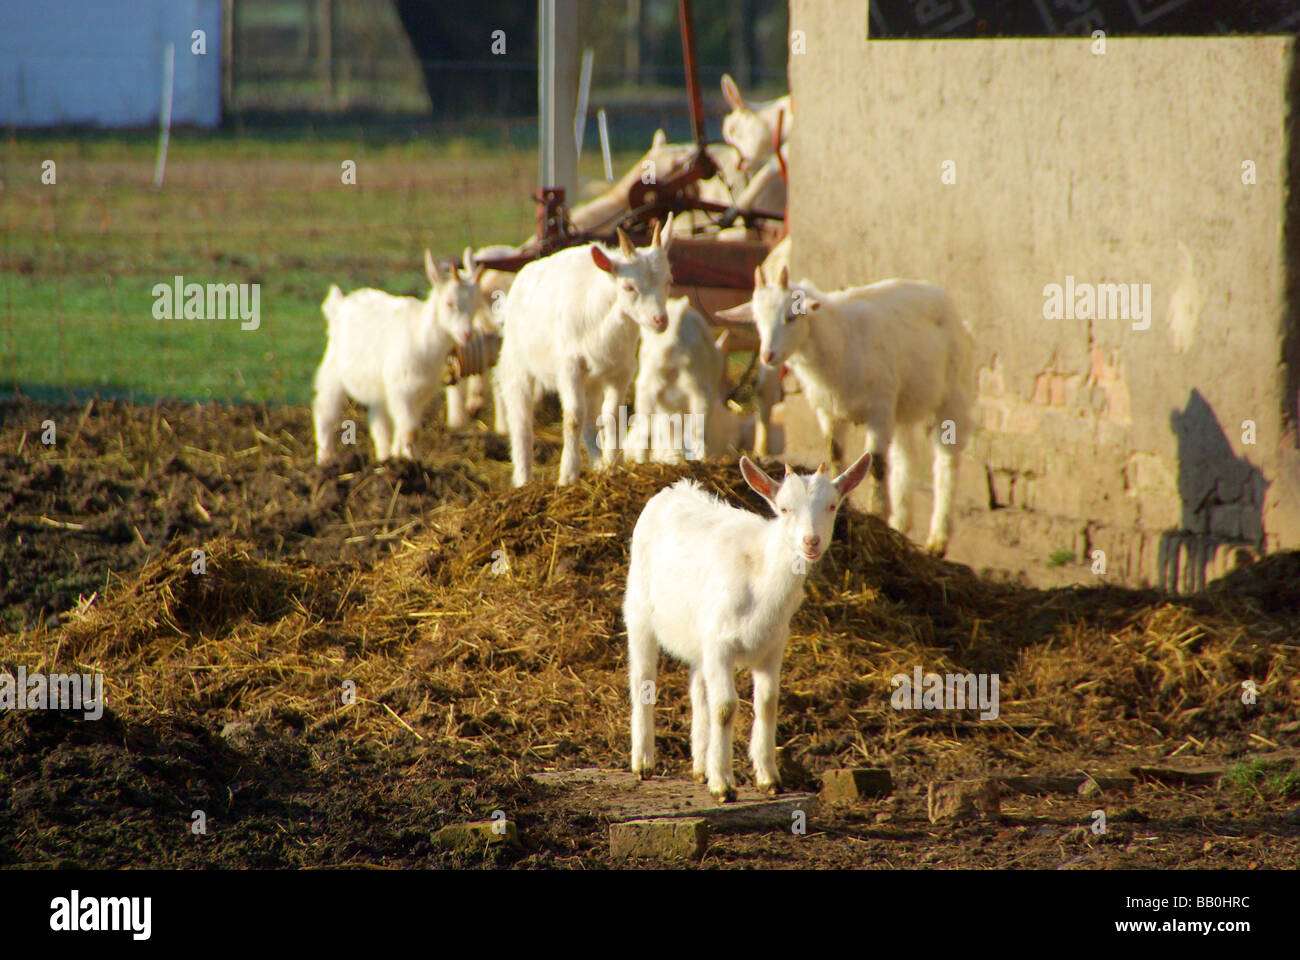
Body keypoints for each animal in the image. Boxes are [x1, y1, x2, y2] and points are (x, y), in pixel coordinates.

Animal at [313, 248, 483, 463]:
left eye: (476, 304)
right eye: (449, 303)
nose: (467, 334)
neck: (421, 338)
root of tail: (339, 304)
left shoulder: (421, 392)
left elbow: (408, 430)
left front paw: (405, 457)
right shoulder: (401, 391)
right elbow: (410, 430)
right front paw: (409, 464)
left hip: (379, 387)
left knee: (379, 423)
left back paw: (384, 456)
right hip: (333, 368)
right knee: (325, 410)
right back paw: (325, 459)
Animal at [496, 217, 676, 486]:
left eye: (668, 281)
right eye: (629, 287)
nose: (660, 320)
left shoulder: (621, 371)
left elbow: (612, 415)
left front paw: (613, 466)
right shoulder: (569, 367)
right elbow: (573, 417)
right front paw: (568, 475)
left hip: (593, 380)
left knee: (591, 419)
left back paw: (598, 462)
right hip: (517, 363)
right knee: (521, 419)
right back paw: (523, 478)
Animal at [624, 452, 868, 796]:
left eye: (832, 506)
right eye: (784, 508)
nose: (811, 541)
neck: (761, 574)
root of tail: (674, 488)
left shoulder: (773, 646)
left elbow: (766, 703)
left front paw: (768, 777)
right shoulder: (720, 645)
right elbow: (725, 708)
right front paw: (723, 784)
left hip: (699, 638)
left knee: (699, 690)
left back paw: (700, 766)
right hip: (639, 611)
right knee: (643, 680)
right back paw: (644, 762)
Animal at [722, 267, 977, 554]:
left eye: (791, 316)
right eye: (757, 320)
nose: (767, 356)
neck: (838, 340)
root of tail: (957, 316)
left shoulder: (879, 409)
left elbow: (876, 463)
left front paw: (877, 513)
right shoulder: (828, 412)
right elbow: (835, 454)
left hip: (953, 395)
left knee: (946, 462)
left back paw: (937, 538)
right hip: (902, 404)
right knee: (906, 458)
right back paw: (900, 524)